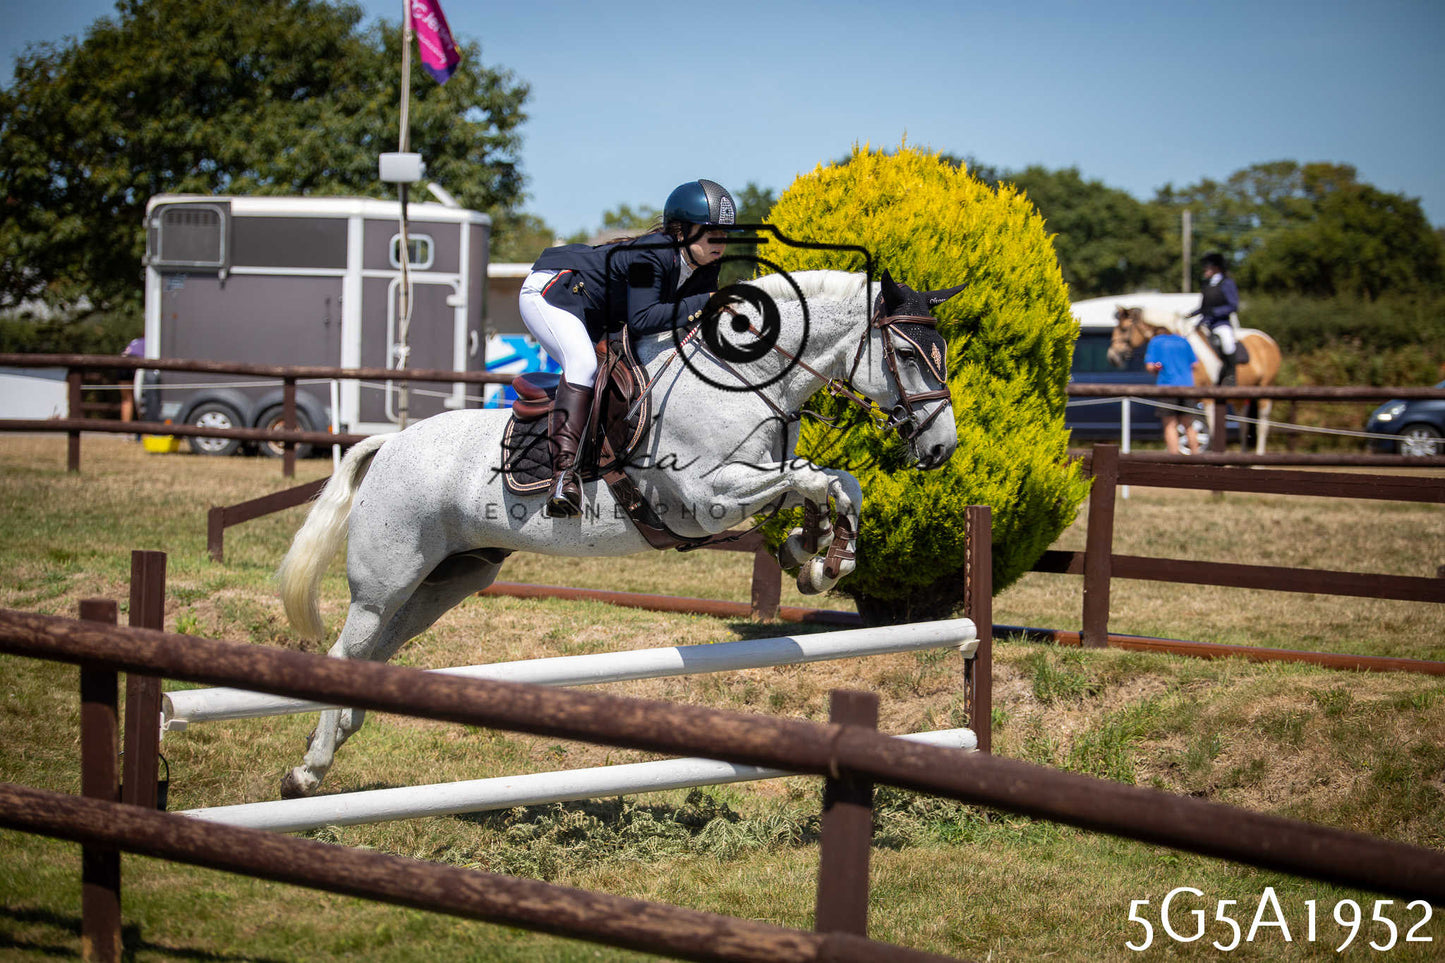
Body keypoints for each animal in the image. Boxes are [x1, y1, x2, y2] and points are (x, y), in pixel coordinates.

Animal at [274, 269, 964, 797]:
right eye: (907, 355)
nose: (940, 449)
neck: (744, 380)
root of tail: (391, 443)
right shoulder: (708, 498)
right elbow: (810, 478)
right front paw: (818, 552)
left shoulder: (755, 477)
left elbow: (834, 482)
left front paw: (820, 555)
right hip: (384, 579)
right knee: (348, 651)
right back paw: (305, 774)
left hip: (448, 579)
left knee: (380, 649)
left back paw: (331, 744)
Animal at [1107, 306, 1281, 453]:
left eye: (1123, 329)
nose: (1112, 356)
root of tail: (1268, 340)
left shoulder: (1207, 398)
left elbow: (1210, 427)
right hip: (1239, 396)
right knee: (1243, 425)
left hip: (1265, 389)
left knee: (1262, 426)